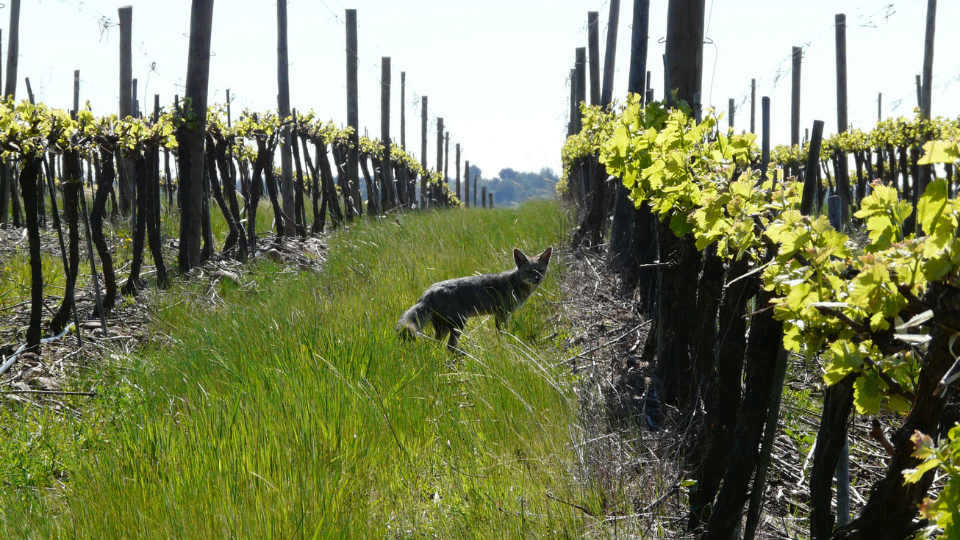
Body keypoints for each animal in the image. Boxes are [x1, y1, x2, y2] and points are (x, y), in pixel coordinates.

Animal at [394, 248, 552, 350]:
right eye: (529, 271)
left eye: (540, 271)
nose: (537, 279)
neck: (514, 283)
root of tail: (428, 293)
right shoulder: (502, 314)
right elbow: (502, 333)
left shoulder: (499, 314)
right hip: (458, 325)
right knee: (449, 347)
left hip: (443, 329)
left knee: (437, 345)